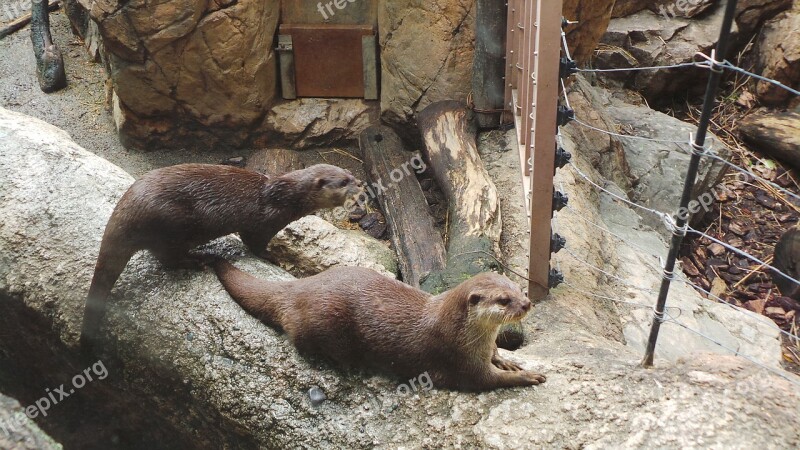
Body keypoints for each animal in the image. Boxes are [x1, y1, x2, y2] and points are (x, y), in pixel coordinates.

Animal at [83, 163, 360, 350]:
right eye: (344, 181)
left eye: (349, 173)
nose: (359, 182)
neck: (283, 198)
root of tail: (126, 212)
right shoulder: (264, 223)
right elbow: (254, 244)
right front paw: (273, 258)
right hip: (172, 224)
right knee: (168, 257)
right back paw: (199, 259)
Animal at [212, 258, 552, 392]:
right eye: (503, 300)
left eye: (519, 288)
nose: (527, 304)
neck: (462, 334)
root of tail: (299, 287)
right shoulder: (460, 362)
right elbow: (488, 380)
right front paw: (527, 376)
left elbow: (496, 356)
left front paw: (507, 360)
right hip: (323, 320)